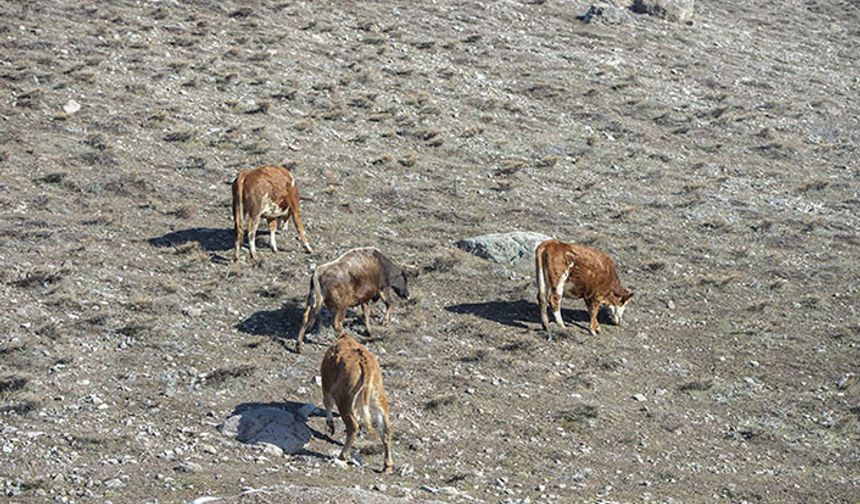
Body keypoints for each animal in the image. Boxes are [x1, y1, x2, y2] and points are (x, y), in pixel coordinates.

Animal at [320, 334, 394, 472]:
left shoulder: (326, 382)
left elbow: (327, 402)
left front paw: (330, 426)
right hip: (377, 397)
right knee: (385, 429)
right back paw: (387, 466)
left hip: (344, 398)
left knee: (353, 426)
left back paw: (342, 455)